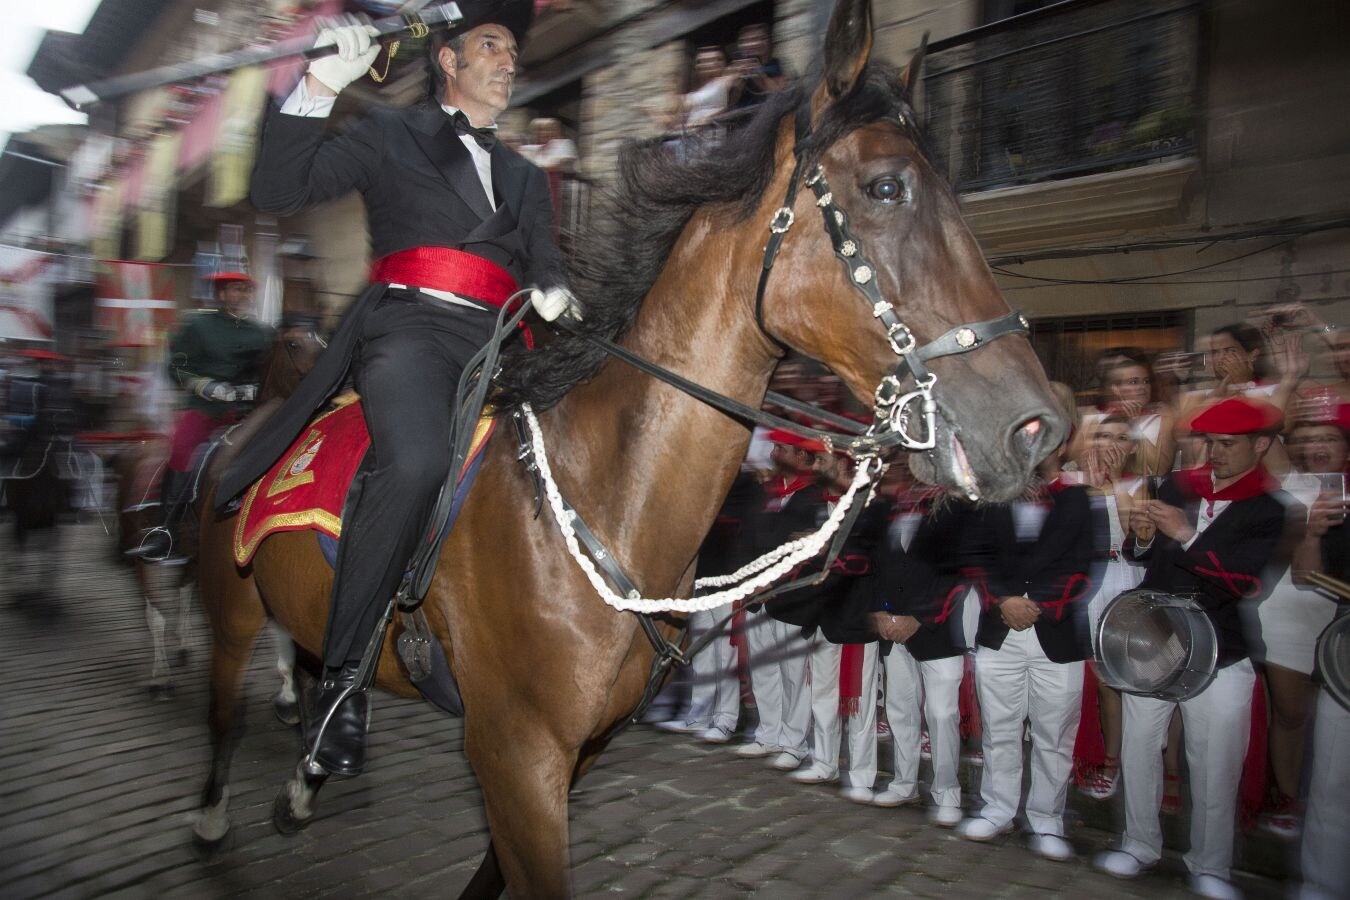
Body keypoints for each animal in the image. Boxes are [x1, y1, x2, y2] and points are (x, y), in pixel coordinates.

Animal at [195, 3, 1069, 895]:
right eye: (886, 187)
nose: (1038, 428)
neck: (602, 498)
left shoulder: (574, 752)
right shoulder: (515, 753)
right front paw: (334, 65)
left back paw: (307, 775)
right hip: (231, 610)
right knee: (224, 709)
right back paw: (224, 809)